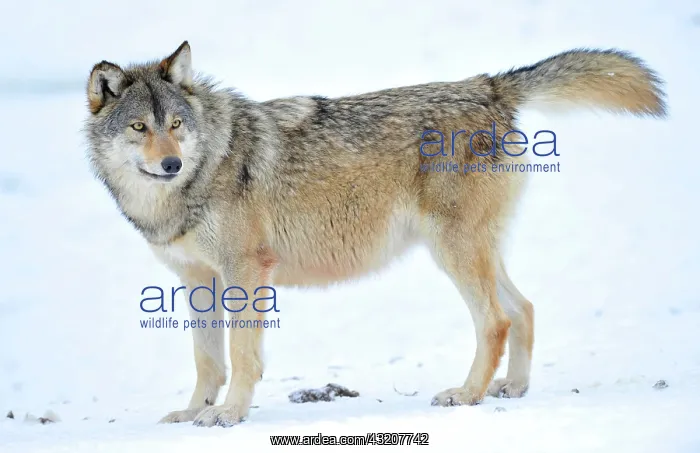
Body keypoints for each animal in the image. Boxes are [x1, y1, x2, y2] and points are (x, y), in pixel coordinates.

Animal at [84, 41, 666, 427]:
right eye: (140, 128)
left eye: (176, 125)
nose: (172, 164)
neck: (199, 175)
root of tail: (488, 85)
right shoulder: (197, 280)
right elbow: (207, 359)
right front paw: (192, 413)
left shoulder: (246, 271)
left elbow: (243, 355)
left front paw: (229, 415)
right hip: (473, 249)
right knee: (523, 307)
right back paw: (513, 388)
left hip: (452, 252)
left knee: (496, 320)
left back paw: (466, 395)